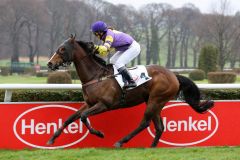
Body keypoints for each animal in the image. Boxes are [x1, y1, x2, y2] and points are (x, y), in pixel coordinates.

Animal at [47, 34, 214, 147]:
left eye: (62, 49)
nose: (49, 64)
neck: (96, 76)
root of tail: (173, 75)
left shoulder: (104, 105)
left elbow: (83, 117)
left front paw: (99, 134)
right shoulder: (89, 103)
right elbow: (71, 118)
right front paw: (52, 139)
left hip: (156, 100)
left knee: (144, 123)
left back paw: (121, 142)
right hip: (155, 102)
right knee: (159, 127)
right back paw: (152, 147)